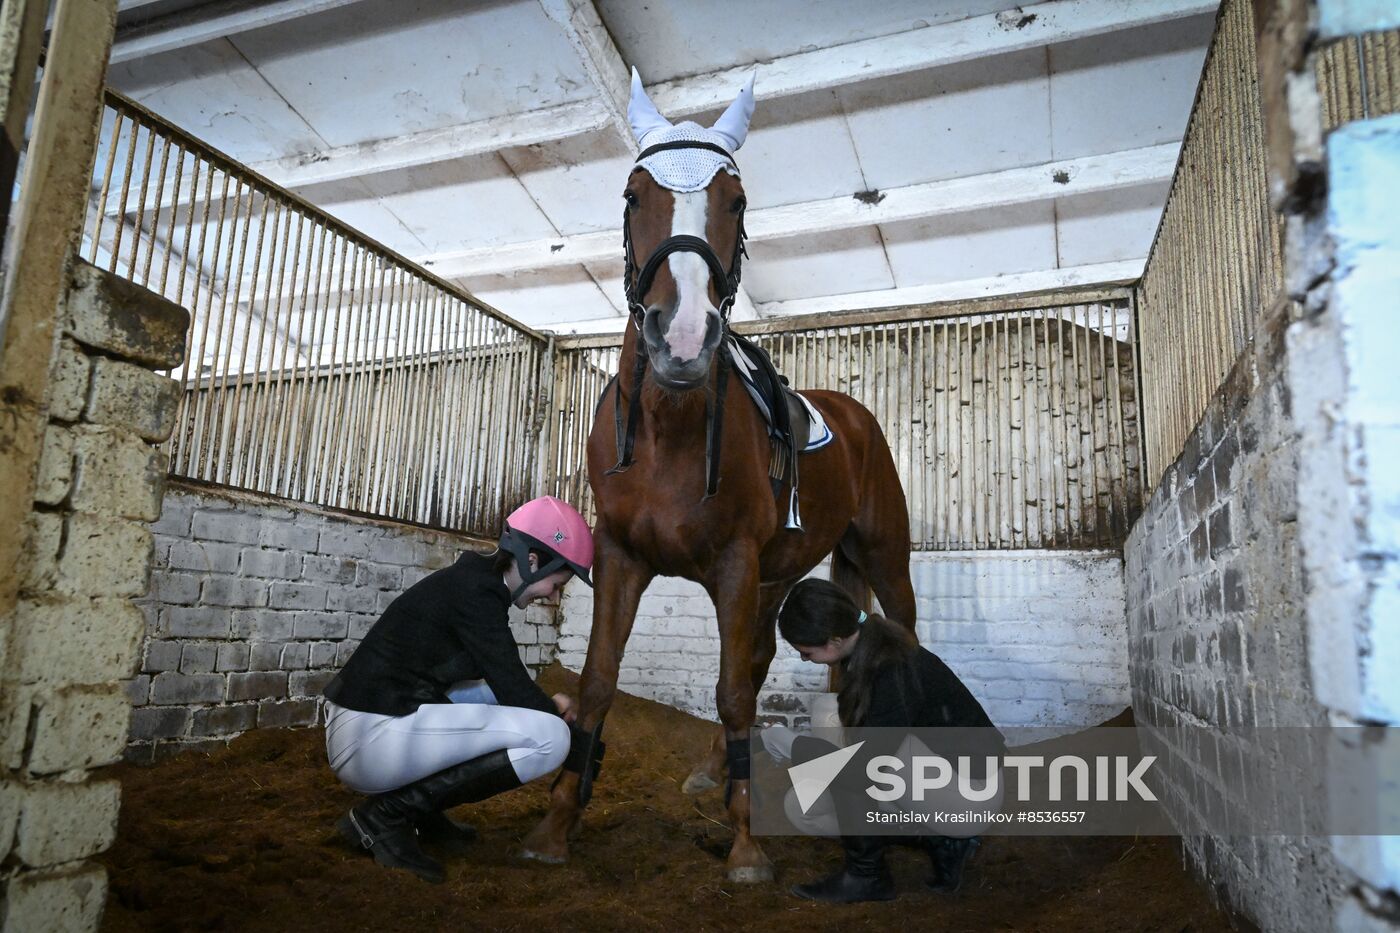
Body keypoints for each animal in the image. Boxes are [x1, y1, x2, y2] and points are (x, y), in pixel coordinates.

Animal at [520, 72, 912, 879]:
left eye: (736, 200)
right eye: (634, 193)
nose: (684, 337)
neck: (669, 426)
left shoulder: (733, 564)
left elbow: (732, 691)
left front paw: (745, 844)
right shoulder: (623, 557)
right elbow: (600, 680)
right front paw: (556, 824)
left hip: (882, 556)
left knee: (900, 630)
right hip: (775, 577)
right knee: (762, 659)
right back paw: (711, 769)